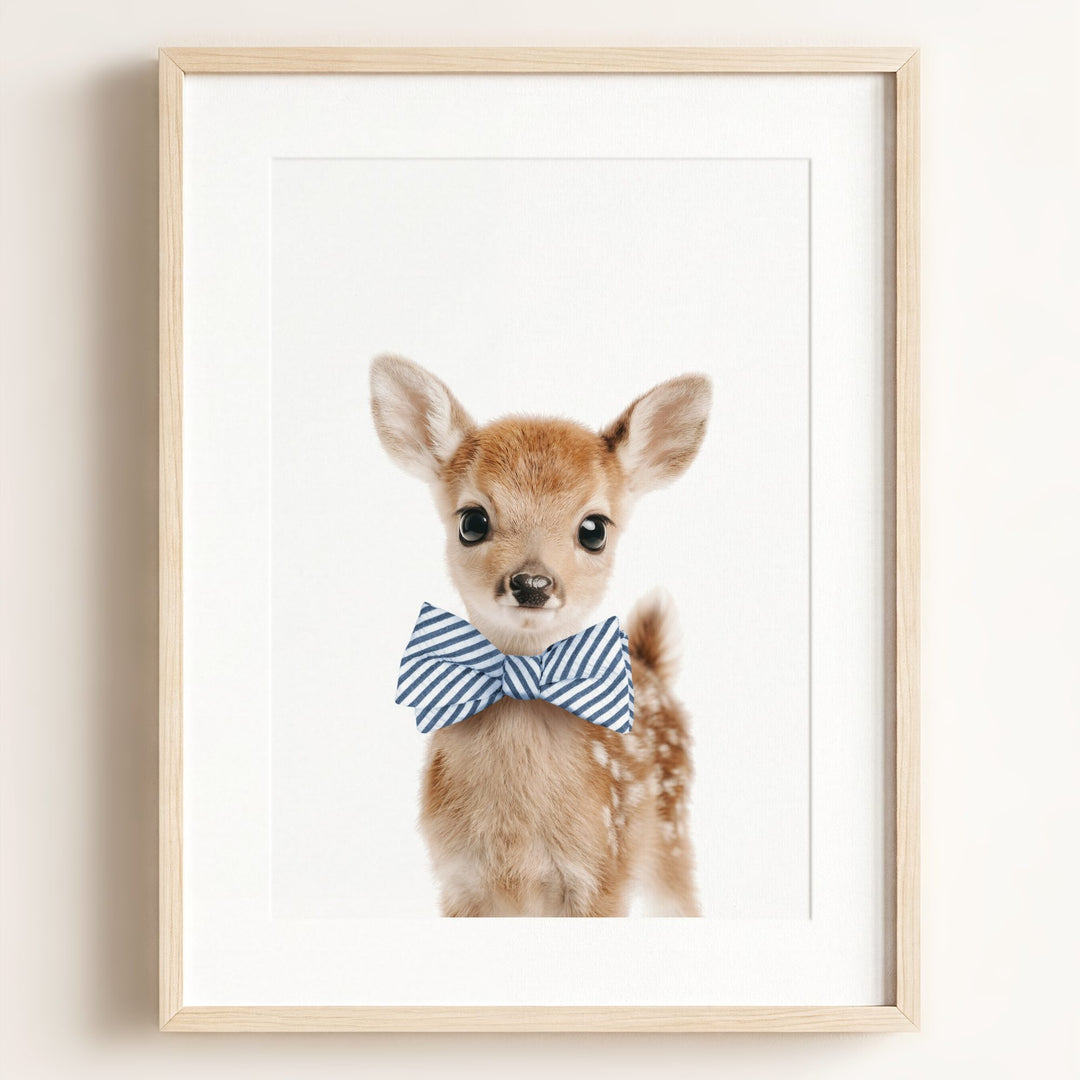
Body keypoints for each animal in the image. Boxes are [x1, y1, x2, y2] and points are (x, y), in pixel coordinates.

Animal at [370, 354, 712, 916]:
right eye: (472, 521)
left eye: (594, 529)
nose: (532, 583)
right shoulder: (458, 881)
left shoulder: (602, 875)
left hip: (672, 835)